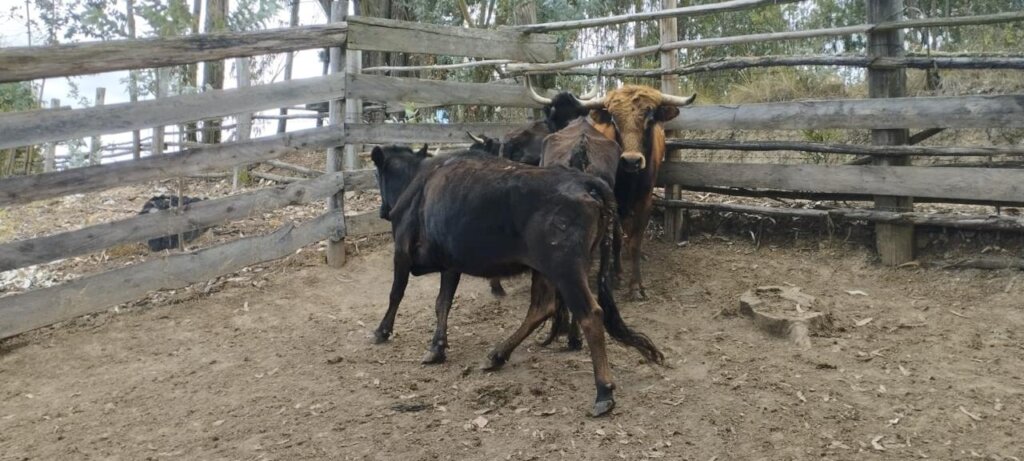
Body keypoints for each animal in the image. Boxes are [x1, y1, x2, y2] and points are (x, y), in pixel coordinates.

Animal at [370, 144, 664, 416]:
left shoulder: (402, 251)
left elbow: (396, 294)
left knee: (590, 314)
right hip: (547, 269)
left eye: (378, 174)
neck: (420, 181)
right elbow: (442, 303)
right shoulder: (450, 263)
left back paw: (603, 391)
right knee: (541, 308)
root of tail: (587, 182)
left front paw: (382, 331)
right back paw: (498, 355)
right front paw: (437, 347)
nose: (383, 210)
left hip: (565, 269)